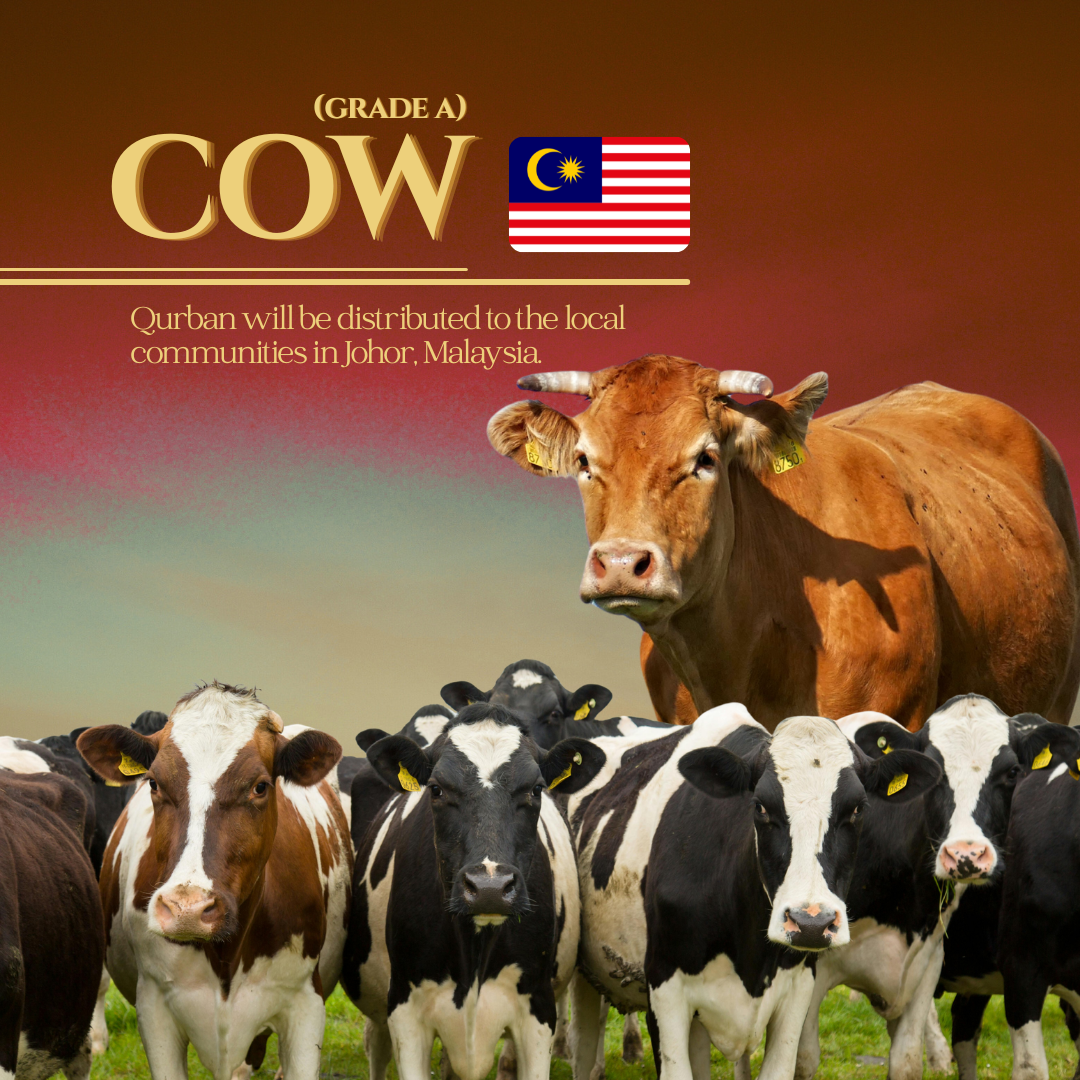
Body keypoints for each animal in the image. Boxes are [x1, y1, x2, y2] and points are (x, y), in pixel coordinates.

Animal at [77, 682, 352, 1080]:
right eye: (154, 783)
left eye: (260, 787)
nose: (187, 909)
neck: (227, 954)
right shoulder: (155, 1008)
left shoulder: (305, 1003)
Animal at [342, 703, 605, 1080]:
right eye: (436, 789)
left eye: (536, 789)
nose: (489, 887)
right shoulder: (405, 1010)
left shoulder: (538, 1011)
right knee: (376, 1045)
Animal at [566, 704, 940, 1080]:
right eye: (760, 806)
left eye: (858, 808)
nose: (811, 923)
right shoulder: (664, 989)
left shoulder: (798, 990)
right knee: (583, 1047)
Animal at [794, 696, 1072, 1080]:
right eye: (935, 773)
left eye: (1013, 772)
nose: (966, 855)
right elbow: (804, 1059)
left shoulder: (926, 962)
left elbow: (907, 1061)